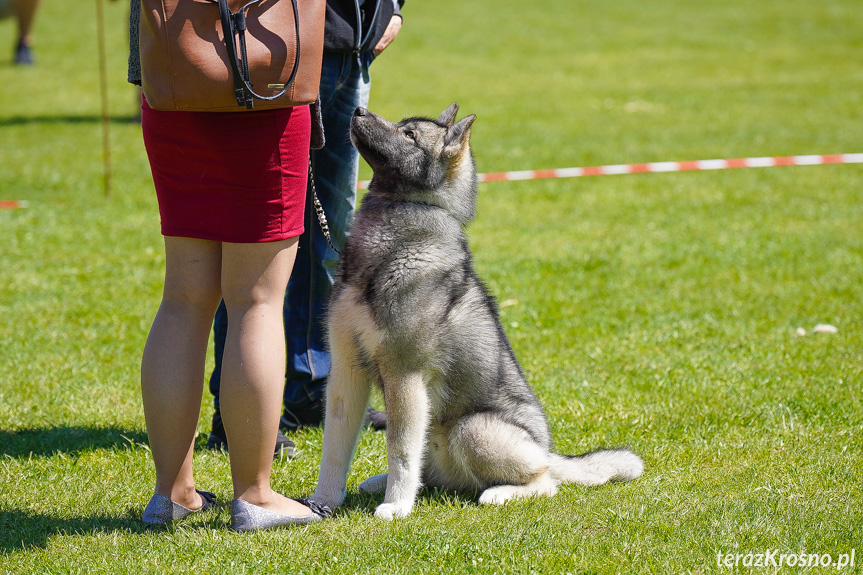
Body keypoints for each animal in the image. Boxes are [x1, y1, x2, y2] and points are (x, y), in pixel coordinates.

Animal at [310, 103, 640, 520]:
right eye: (402, 125)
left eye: (410, 135)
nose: (357, 110)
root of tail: (547, 450)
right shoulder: (346, 370)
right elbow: (334, 450)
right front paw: (322, 502)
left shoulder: (404, 375)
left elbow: (399, 451)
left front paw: (396, 507)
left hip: (473, 430)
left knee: (545, 481)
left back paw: (497, 493)